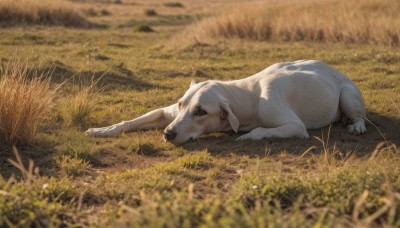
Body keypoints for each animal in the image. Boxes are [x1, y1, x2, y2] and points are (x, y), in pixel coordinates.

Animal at [86, 59, 368, 143]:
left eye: (201, 111)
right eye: (181, 105)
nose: (167, 134)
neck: (246, 97)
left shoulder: (295, 127)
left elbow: (259, 130)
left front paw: (246, 135)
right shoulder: (168, 114)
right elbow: (130, 121)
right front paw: (102, 130)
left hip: (347, 94)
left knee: (359, 115)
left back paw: (355, 125)